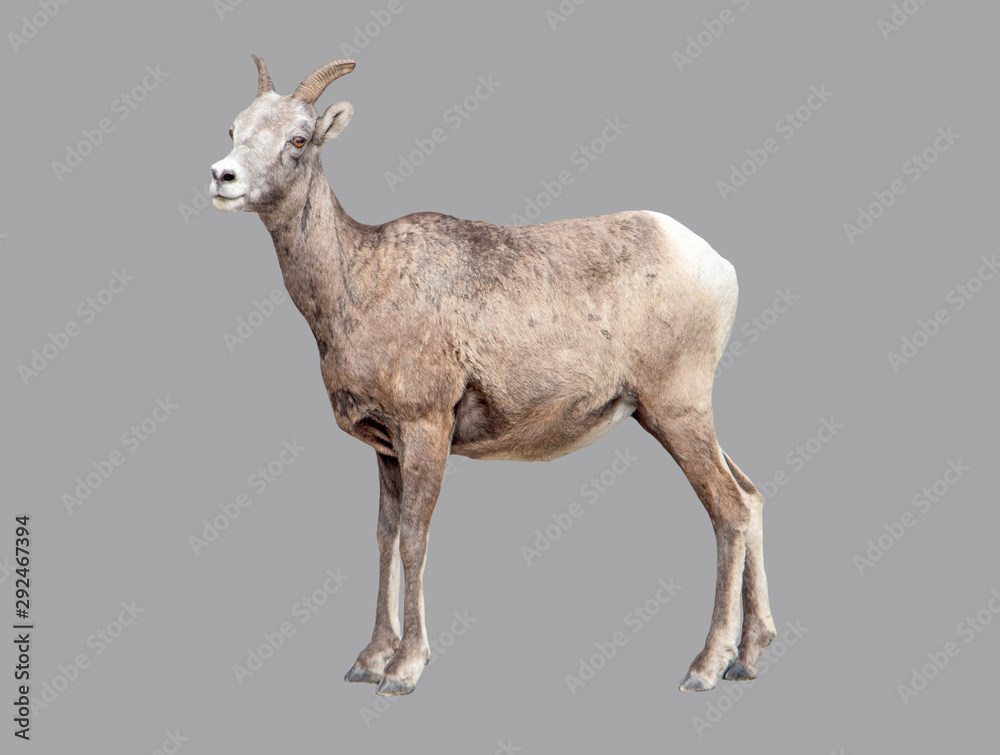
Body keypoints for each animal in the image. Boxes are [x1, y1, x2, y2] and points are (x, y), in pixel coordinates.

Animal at [209, 55, 777, 696]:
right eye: (234, 129)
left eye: (299, 140)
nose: (223, 177)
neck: (358, 282)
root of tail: (718, 266)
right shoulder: (385, 448)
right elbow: (383, 537)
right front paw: (368, 661)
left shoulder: (426, 429)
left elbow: (414, 538)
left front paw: (404, 670)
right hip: (673, 415)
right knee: (751, 497)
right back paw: (747, 659)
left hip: (676, 408)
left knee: (728, 510)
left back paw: (705, 668)